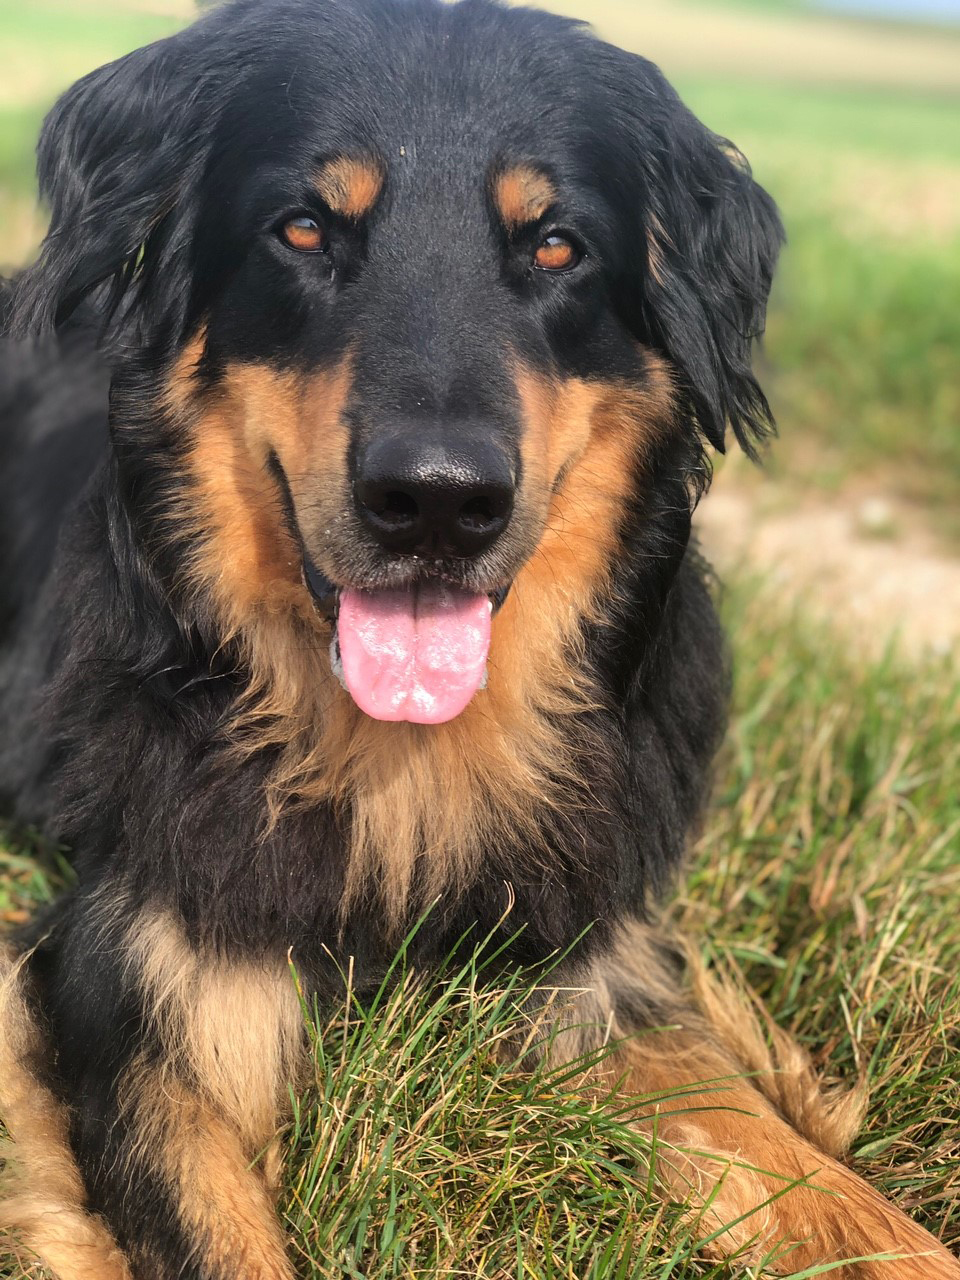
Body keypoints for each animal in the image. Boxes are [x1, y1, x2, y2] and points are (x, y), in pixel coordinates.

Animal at [1, 1, 957, 1276]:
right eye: (303, 228)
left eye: (555, 247)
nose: (436, 505)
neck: (408, 761)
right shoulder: (128, 998)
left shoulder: (594, 958)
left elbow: (820, 1182)